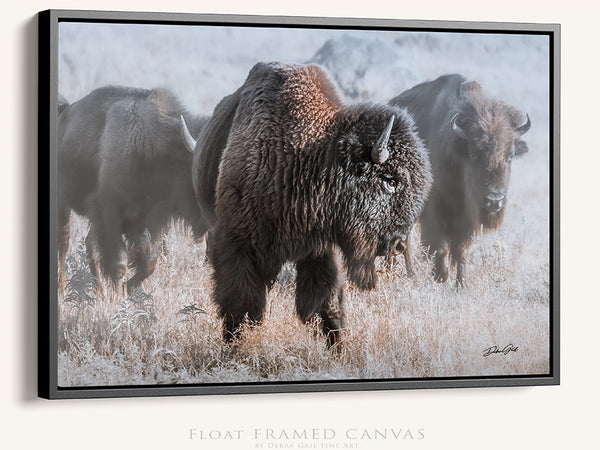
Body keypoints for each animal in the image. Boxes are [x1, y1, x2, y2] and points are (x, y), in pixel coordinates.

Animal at [58, 85, 209, 296]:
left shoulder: (152, 220)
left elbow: (149, 263)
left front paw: (125, 290)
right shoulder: (109, 210)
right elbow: (119, 262)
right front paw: (118, 295)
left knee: (89, 246)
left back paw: (99, 292)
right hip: (62, 203)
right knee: (64, 243)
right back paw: (62, 289)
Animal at [182, 61, 432, 346]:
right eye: (390, 180)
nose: (399, 244)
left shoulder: (320, 250)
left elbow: (326, 303)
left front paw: (338, 347)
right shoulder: (234, 240)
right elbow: (241, 301)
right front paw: (234, 343)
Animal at [392, 73, 532, 284]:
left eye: (510, 155)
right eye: (474, 154)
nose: (494, 201)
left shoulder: (467, 217)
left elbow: (461, 251)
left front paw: (461, 284)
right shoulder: (434, 210)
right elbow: (440, 246)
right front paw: (441, 276)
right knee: (403, 239)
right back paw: (410, 274)